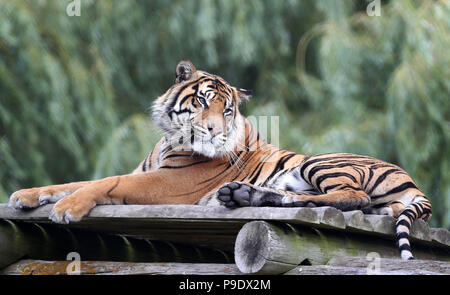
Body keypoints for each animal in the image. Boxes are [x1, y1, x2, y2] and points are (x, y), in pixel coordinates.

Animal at [9, 60, 432, 262]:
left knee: (350, 198)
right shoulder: (147, 172)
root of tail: (414, 184)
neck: (169, 139)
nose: (213, 130)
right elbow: (73, 181)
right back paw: (242, 195)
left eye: (226, 109)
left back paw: (246, 196)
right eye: (201, 101)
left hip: (322, 163)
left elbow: (104, 183)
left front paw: (67, 208)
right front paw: (25, 196)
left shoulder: (167, 183)